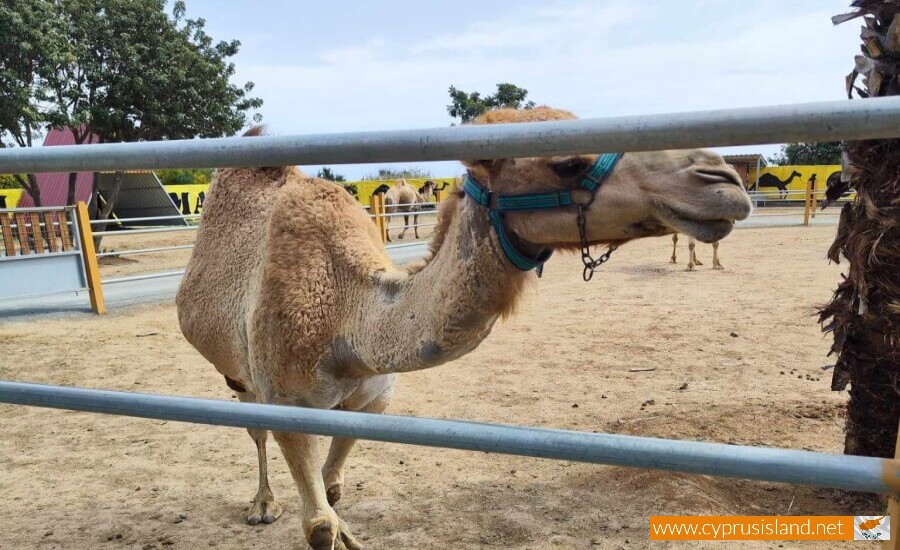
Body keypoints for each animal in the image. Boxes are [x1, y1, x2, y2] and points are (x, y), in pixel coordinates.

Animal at [176, 108, 752, 550]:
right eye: (568, 162)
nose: (722, 179)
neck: (349, 321)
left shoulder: (373, 399)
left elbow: (334, 493)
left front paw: (349, 528)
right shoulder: (289, 401)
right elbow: (318, 523)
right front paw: (314, 521)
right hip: (236, 372)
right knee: (252, 427)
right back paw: (262, 505)